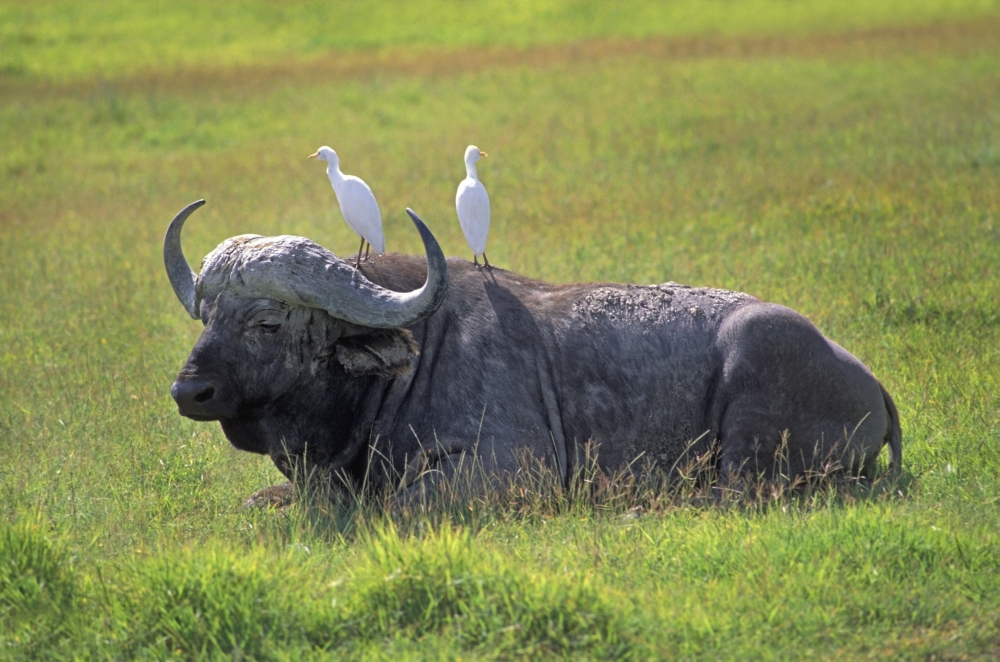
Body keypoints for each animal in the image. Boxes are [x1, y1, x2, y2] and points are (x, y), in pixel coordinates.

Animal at [165, 200, 900, 500]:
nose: (189, 391)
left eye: (267, 323)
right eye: (209, 316)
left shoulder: (509, 469)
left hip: (751, 411)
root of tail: (869, 382)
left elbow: (395, 508)